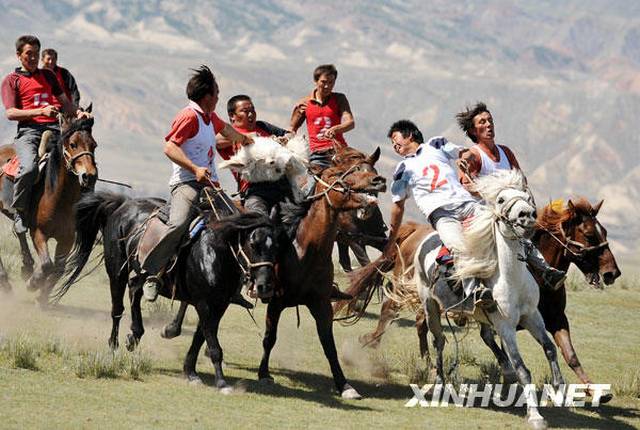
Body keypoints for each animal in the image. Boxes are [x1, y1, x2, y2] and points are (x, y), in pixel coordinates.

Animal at [0, 109, 97, 302]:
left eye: (94, 145)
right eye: (73, 144)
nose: (89, 176)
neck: (59, 199)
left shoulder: (67, 239)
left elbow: (58, 268)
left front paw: (42, 297)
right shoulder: (39, 233)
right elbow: (47, 264)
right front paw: (33, 283)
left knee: (19, 232)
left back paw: (27, 267)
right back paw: (7, 282)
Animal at [55, 191, 282, 390]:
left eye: (277, 245)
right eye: (253, 242)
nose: (265, 286)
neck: (215, 251)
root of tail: (123, 204)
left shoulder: (219, 305)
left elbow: (200, 338)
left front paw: (190, 372)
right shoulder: (205, 304)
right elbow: (213, 345)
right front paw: (221, 382)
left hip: (143, 273)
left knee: (135, 288)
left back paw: (134, 336)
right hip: (116, 270)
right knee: (117, 309)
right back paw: (114, 346)